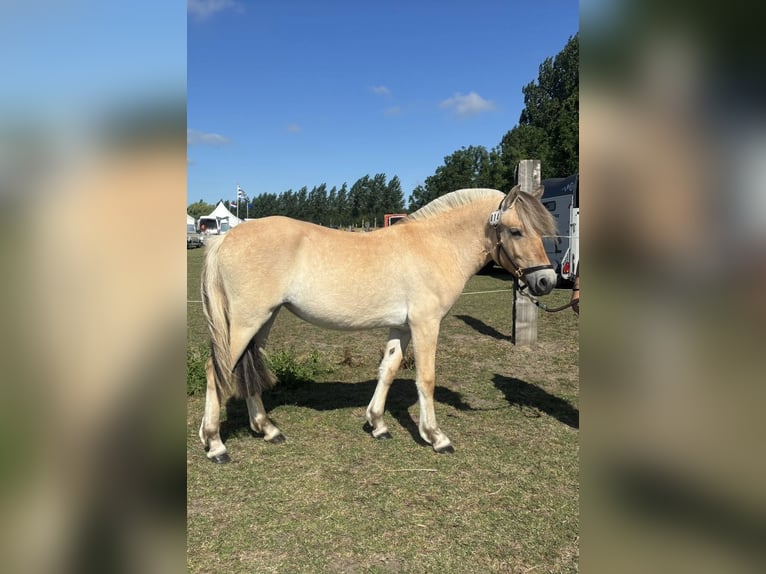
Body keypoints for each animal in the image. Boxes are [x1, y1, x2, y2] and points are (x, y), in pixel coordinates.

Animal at [199, 184, 558, 462]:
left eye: (540, 231)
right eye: (516, 231)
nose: (547, 281)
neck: (435, 245)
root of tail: (224, 239)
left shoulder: (401, 327)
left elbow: (388, 369)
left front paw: (378, 424)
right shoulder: (426, 324)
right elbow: (425, 379)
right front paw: (436, 436)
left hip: (263, 320)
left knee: (244, 369)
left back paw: (268, 429)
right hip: (245, 322)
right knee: (216, 370)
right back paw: (215, 444)